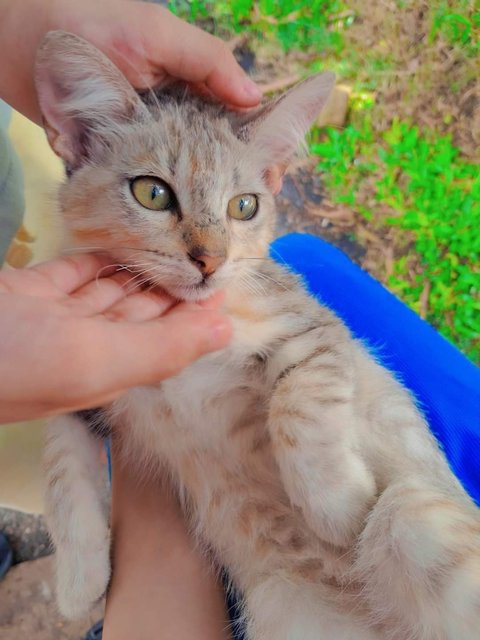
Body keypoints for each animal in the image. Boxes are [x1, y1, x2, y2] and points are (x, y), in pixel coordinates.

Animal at [36, 31, 480, 640]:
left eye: (244, 205)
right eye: (152, 193)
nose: (211, 260)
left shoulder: (314, 327)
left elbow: (298, 404)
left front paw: (339, 508)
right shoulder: (88, 372)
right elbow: (58, 455)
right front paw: (79, 581)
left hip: (418, 513)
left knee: (398, 516)